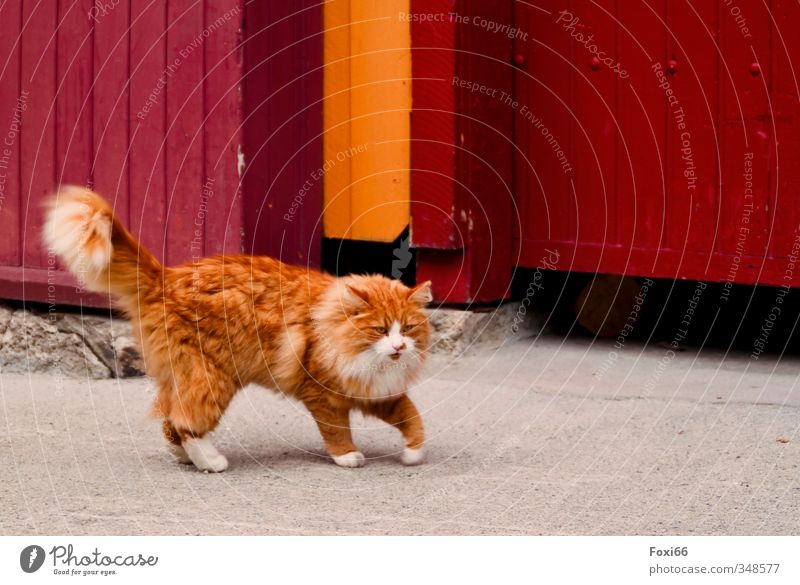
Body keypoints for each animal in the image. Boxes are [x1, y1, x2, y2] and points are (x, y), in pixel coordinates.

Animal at [42, 187, 432, 470]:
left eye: (408, 328)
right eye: (380, 330)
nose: (399, 347)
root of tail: (165, 277)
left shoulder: (378, 392)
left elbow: (412, 417)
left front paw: (413, 454)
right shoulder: (322, 394)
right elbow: (337, 430)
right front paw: (348, 456)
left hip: (184, 376)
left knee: (170, 420)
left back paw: (186, 458)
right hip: (212, 377)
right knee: (186, 422)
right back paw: (212, 462)